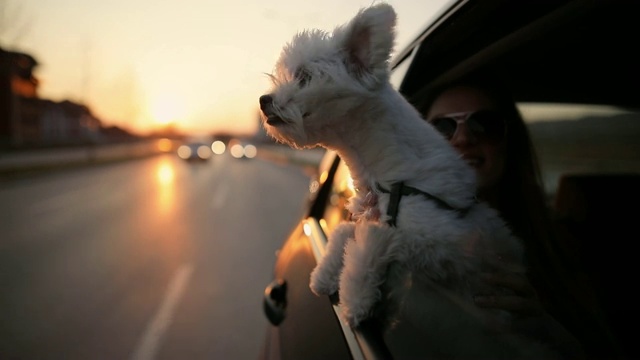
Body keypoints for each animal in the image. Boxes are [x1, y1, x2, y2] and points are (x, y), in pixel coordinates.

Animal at [258, 2, 556, 358]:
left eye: (304, 77)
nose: (263, 100)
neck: (386, 173)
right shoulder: (370, 210)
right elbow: (347, 228)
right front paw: (327, 270)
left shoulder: (444, 239)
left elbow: (379, 237)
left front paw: (355, 296)